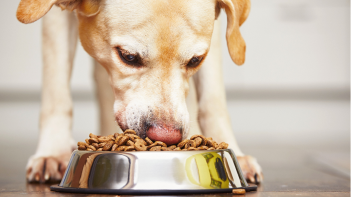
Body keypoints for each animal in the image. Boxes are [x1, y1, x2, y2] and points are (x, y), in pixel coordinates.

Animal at [17, 0, 262, 183]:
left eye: (195, 60)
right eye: (128, 56)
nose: (166, 136)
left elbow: (213, 99)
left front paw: (232, 150)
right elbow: (56, 90)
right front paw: (53, 152)